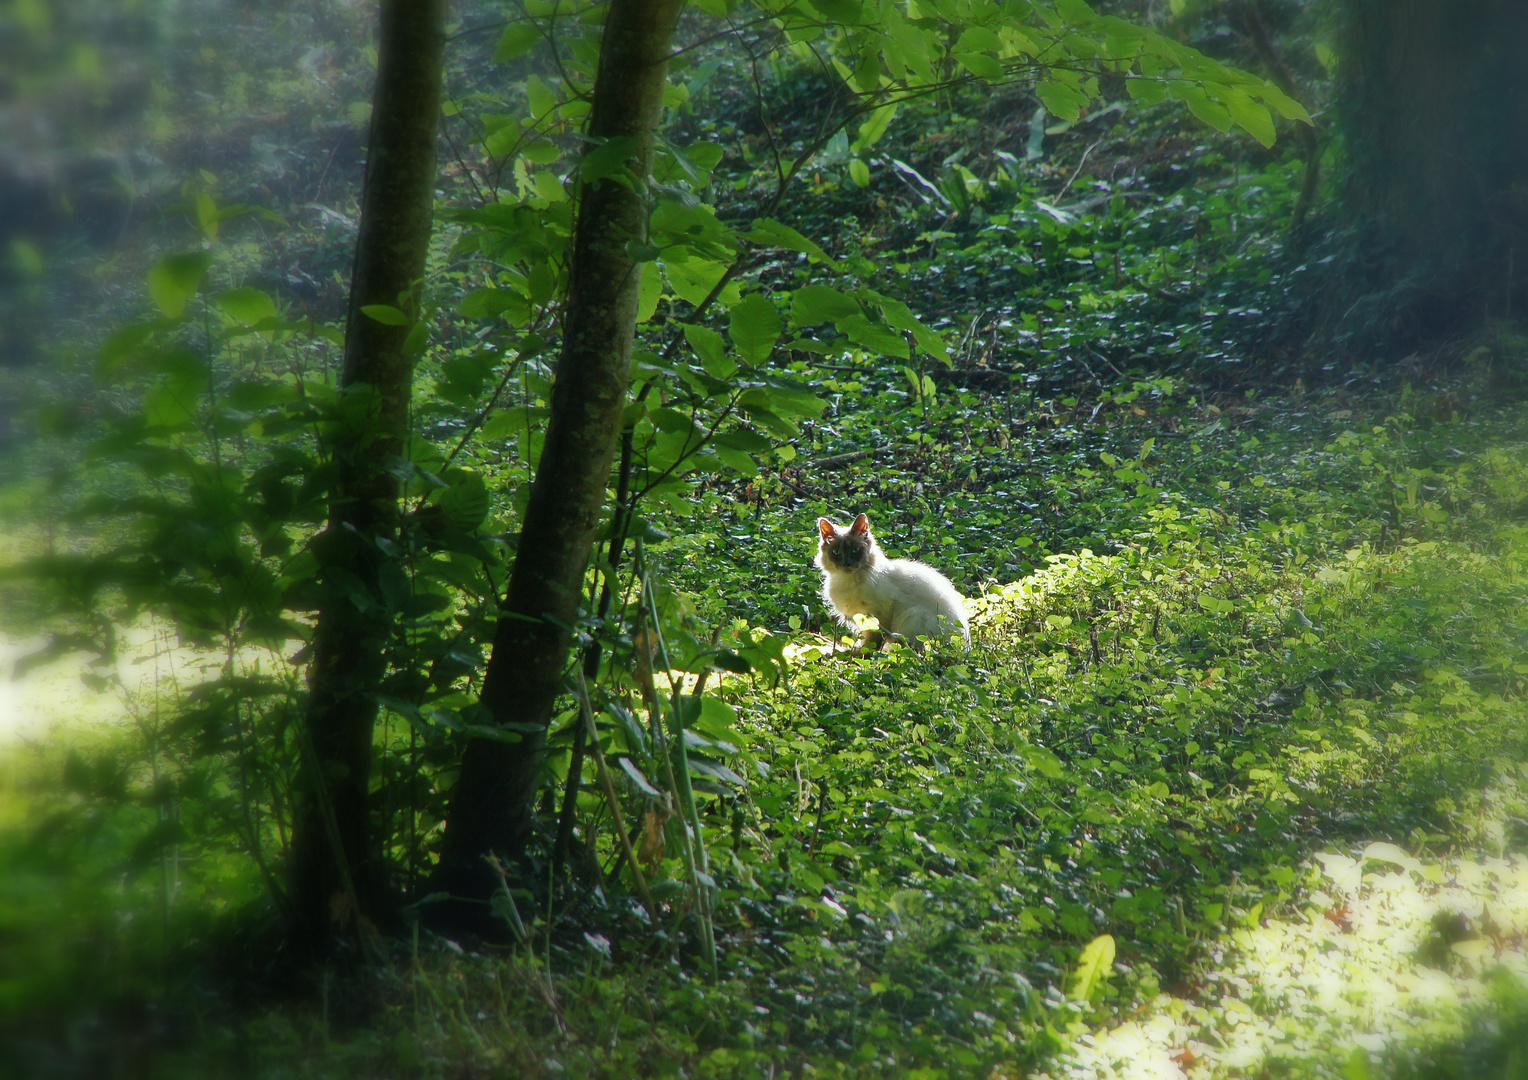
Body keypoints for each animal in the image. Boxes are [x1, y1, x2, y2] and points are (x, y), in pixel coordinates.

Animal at [812, 513, 965, 653]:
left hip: (914, 616)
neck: (848, 580)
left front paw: (857, 654)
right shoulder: (859, 617)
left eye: (855, 550)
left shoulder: (878, 615)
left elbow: (871, 643)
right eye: (836, 553)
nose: (846, 564)